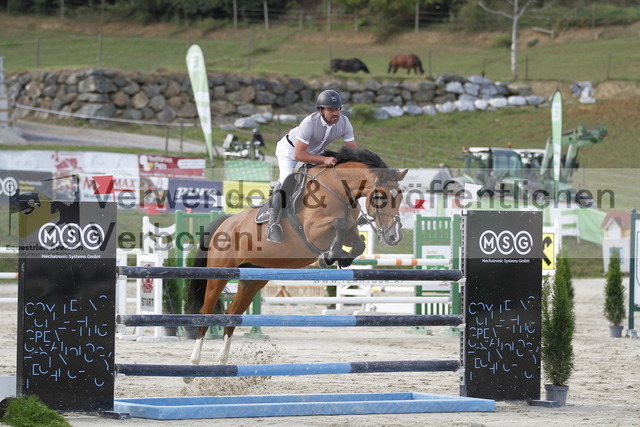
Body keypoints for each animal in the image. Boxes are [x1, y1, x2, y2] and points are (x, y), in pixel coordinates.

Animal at [185, 147, 407, 374]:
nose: (394, 237)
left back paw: (222, 362)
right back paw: (193, 365)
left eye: (400, 198)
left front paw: (338, 258)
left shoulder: (349, 232)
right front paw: (328, 256)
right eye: (380, 197)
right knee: (206, 313)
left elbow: (358, 242)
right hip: (220, 274)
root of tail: (226, 222)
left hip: (252, 279)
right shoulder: (313, 231)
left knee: (232, 314)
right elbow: (339, 223)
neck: (337, 188)